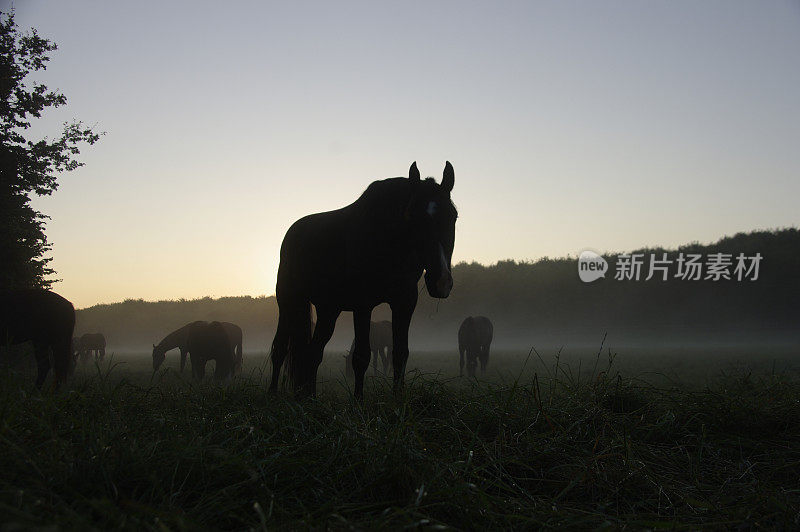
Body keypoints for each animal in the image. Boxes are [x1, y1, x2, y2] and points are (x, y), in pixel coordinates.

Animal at [270, 162, 454, 400]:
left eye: (453, 216)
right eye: (412, 217)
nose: (441, 282)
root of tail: (292, 233)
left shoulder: (405, 302)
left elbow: (400, 354)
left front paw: (398, 399)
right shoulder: (362, 305)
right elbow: (361, 357)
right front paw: (358, 401)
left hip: (329, 310)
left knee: (313, 352)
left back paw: (310, 397)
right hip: (288, 302)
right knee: (279, 349)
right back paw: (272, 394)